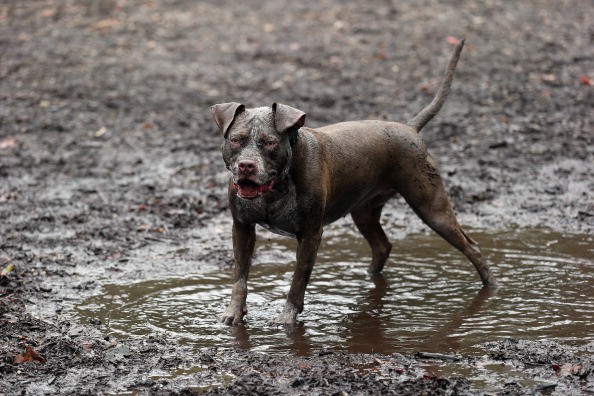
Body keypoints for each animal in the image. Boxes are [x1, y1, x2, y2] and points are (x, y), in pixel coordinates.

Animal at [210, 39, 498, 324]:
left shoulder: (310, 235)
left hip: (432, 208)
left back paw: (491, 288)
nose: (246, 166)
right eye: (236, 139)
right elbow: (240, 278)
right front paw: (233, 313)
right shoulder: (242, 228)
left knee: (472, 247)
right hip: (364, 211)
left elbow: (297, 283)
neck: (274, 190)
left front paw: (286, 321)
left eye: (269, 142)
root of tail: (410, 128)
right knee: (382, 246)